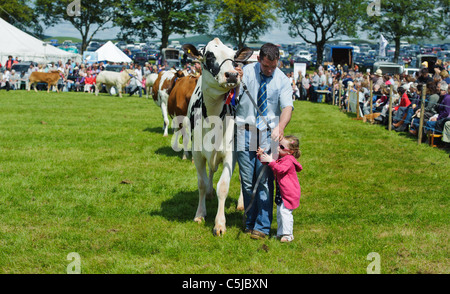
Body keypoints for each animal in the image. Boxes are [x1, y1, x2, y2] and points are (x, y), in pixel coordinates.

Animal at [183, 38, 253, 237]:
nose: (232, 75)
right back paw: (209, 193)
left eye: (234, 57)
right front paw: (200, 213)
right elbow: (201, 183)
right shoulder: (197, 153)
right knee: (211, 172)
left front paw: (220, 223)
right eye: (209, 56)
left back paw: (241, 203)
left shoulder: (231, 153)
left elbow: (223, 186)